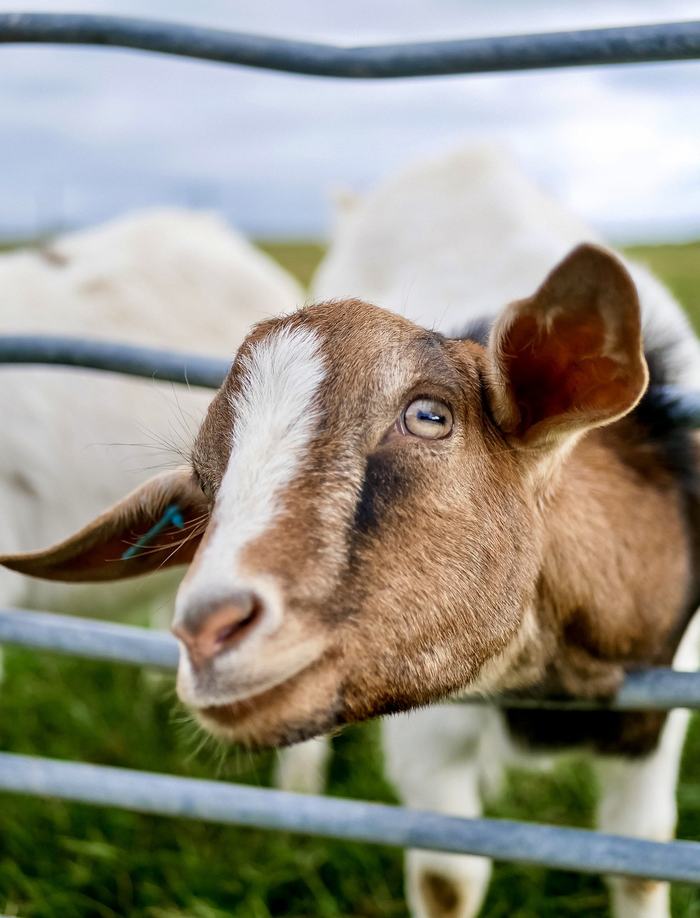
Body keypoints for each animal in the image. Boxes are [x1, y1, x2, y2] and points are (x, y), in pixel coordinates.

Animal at [3, 149, 699, 918]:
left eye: (429, 416)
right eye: (207, 488)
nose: (208, 631)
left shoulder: (656, 722)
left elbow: (640, 863)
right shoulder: (428, 730)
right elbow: (448, 880)